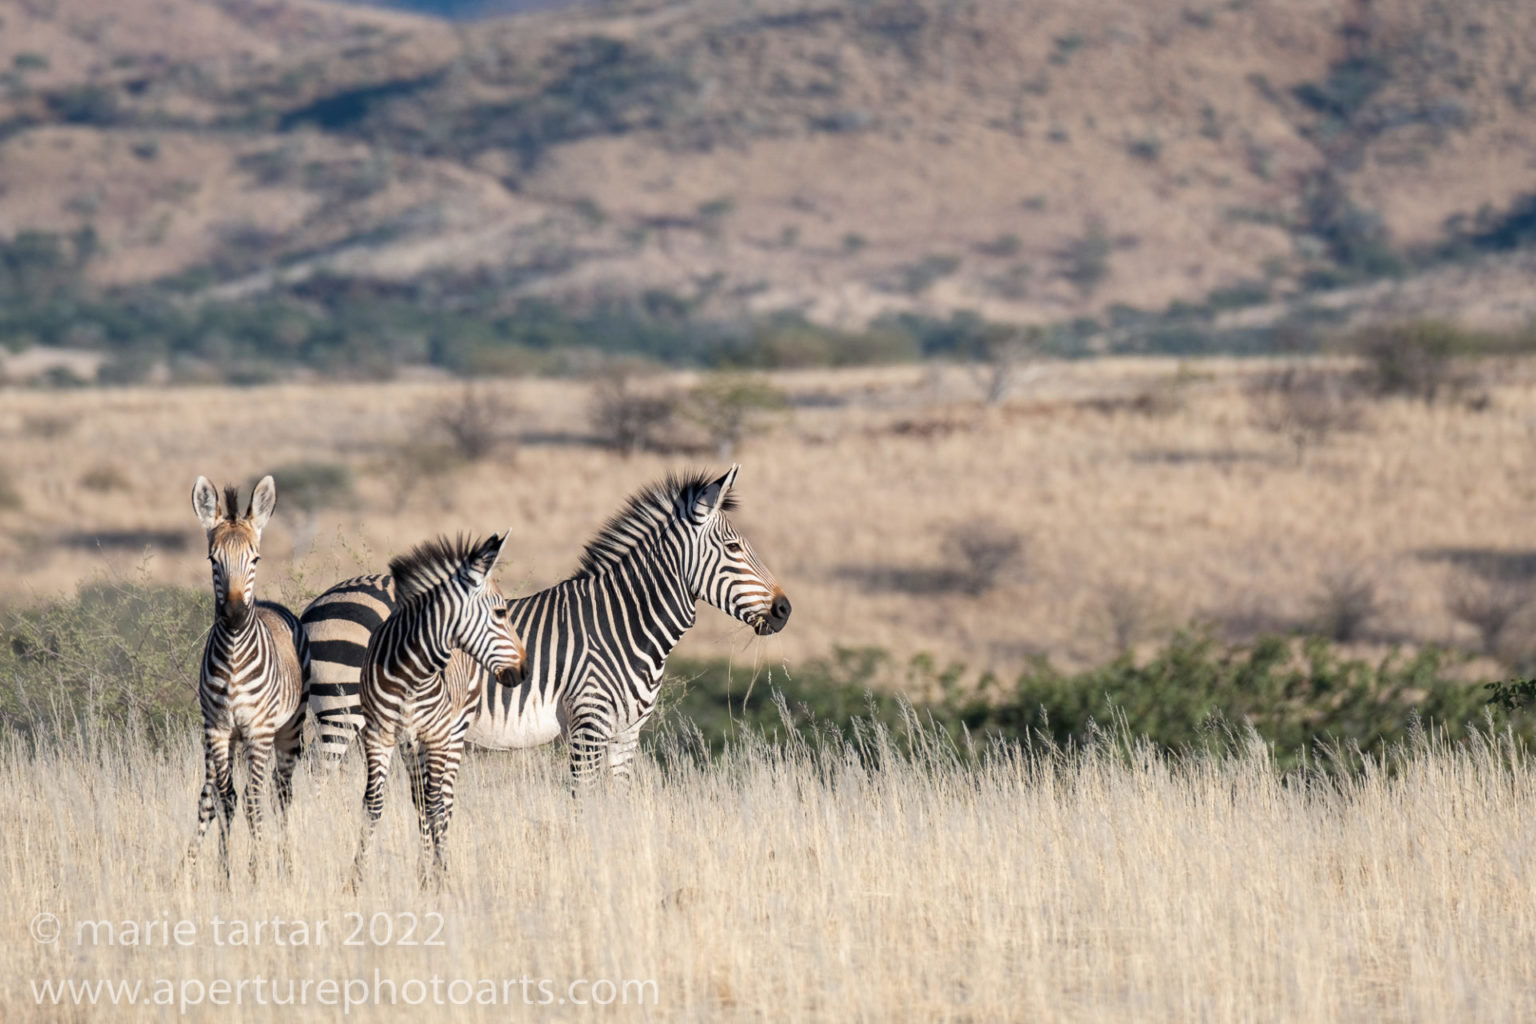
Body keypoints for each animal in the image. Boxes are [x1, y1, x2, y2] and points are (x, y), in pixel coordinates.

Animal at [184, 475, 307, 884]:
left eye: (255, 559)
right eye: (213, 560)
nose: (236, 614)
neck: (235, 660)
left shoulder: (258, 730)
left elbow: (254, 804)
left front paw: (256, 873)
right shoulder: (219, 731)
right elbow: (227, 800)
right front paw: (225, 876)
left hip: (287, 731)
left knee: (280, 795)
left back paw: (285, 865)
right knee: (213, 797)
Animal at [296, 469, 792, 792]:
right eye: (733, 547)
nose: (784, 609)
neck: (623, 623)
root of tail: (319, 600)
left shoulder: (626, 734)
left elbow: (619, 804)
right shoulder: (589, 724)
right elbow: (582, 801)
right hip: (341, 711)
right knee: (317, 783)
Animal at [353, 534, 528, 884]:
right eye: (500, 612)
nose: (524, 671)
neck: (411, 672)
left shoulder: (436, 736)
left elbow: (437, 806)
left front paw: (439, 875)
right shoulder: (378, 735)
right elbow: (373, 805)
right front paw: (356, 878)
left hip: (453, 733)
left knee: (443, 801)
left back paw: (436, 867)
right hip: (410, 743)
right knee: (421, 798)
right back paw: (423, 869)